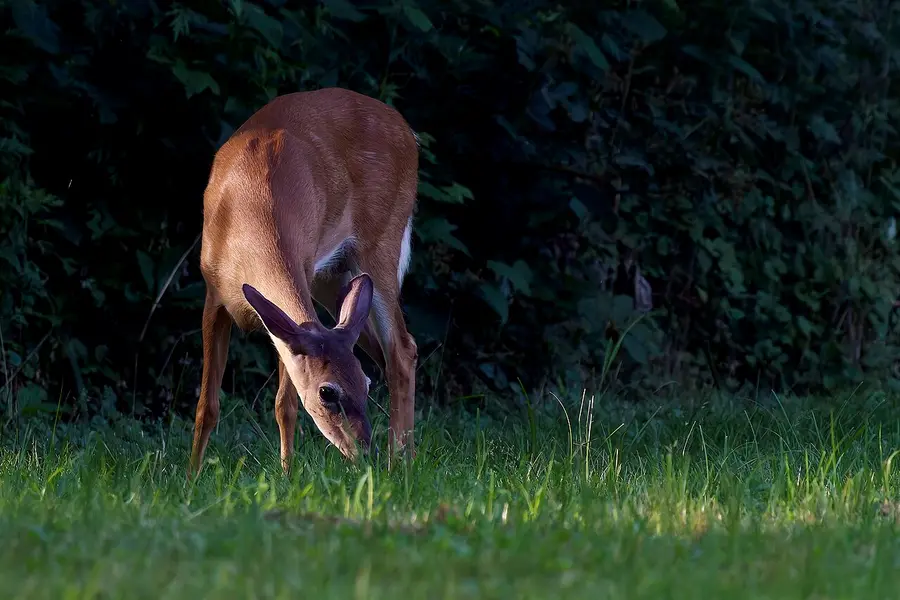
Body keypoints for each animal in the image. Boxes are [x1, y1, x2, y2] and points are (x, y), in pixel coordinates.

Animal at [188, 87, 419, 478]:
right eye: (328, 392)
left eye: (365, 385)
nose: (364, 451)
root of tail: (407, 130)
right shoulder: (213, 293)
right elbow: (207, 406)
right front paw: (191, 476)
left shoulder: (296, 288)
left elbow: (286, 404)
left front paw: (286, 475)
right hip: (335, 278)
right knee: (392, 349)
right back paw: (404, 458)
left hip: (379, 244)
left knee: (401, 349)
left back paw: (399, 465)